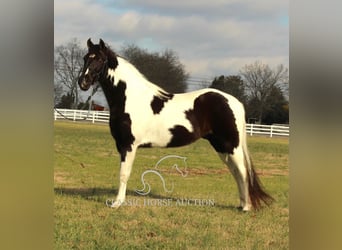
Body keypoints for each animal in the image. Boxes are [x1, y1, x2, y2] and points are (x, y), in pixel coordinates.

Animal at [77, 39, 272, 211]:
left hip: (232, 146)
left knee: (243, 172)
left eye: (99, 59)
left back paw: (246, 207)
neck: (130, 98)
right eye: (86, 58)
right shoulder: (122, 145)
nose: (83, 82)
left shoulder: (128, 145)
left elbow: (124, 174)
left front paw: (117, 204)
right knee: (236, 172)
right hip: (222, 147)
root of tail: (234, 102)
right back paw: (241, 204)